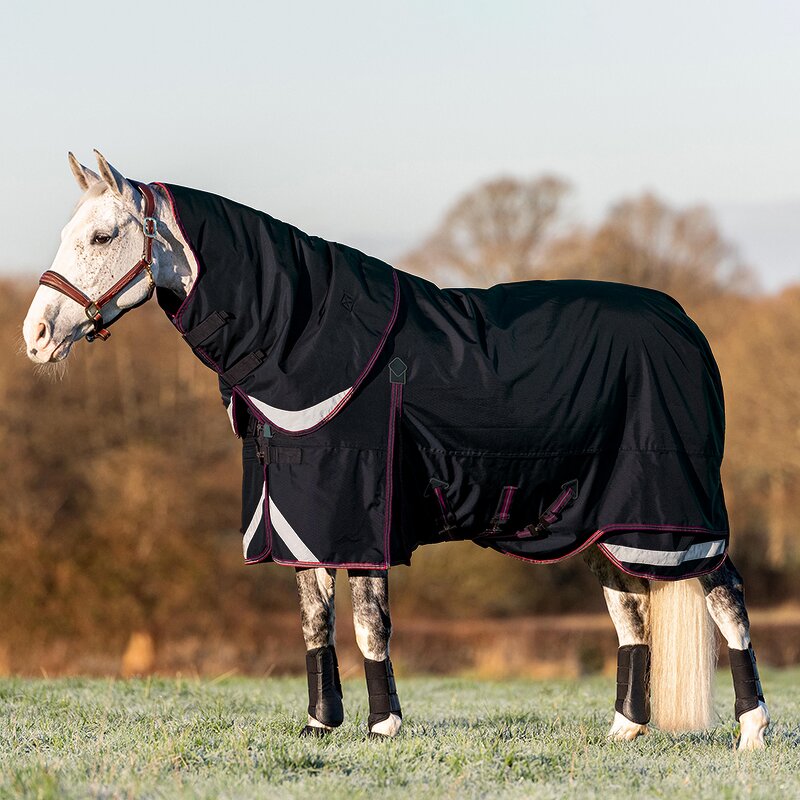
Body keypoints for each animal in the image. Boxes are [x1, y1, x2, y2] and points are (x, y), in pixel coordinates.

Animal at [22, 151, 770, 748]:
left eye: (101, 234)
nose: (35, 336)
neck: (302, 338)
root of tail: (684, 324)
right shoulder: (300, 516)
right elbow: (315, 620)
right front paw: (321, 723)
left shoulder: (361, 510)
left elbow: (367, 623)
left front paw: (383, 725)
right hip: (600, 523)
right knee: (632, 611)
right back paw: (625, 731)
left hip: (676, 515)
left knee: (726, 595)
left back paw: (752, 730)